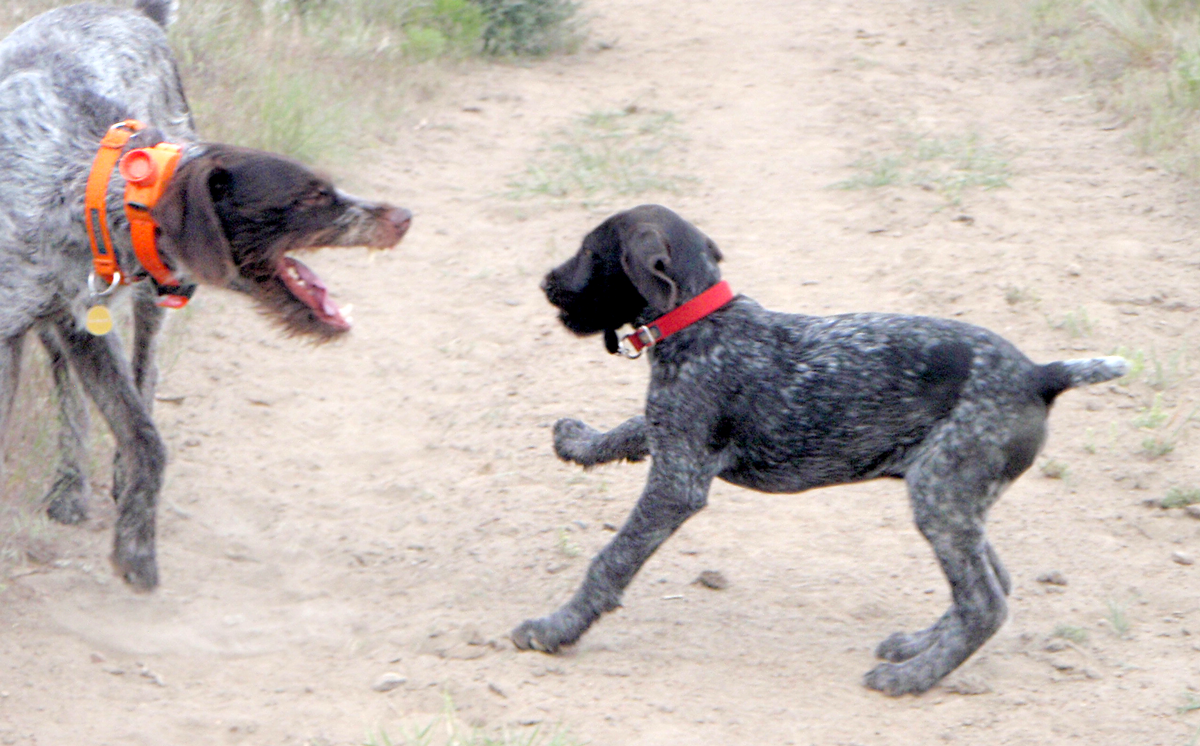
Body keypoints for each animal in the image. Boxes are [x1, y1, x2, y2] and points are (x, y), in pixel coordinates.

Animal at [511, 202, 1128, 695]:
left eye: (588, 251)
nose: (545, 283)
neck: (700, 321)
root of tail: (1039, 375)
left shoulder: (677, 481)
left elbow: (610, 561)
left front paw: (554, 629)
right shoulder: (670, 434)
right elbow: (628, 428)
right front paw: (580, 442)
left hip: (944, 495)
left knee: (986, 603)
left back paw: (912, 677)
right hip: (958, 495)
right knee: (995, 582)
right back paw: (918, 645)